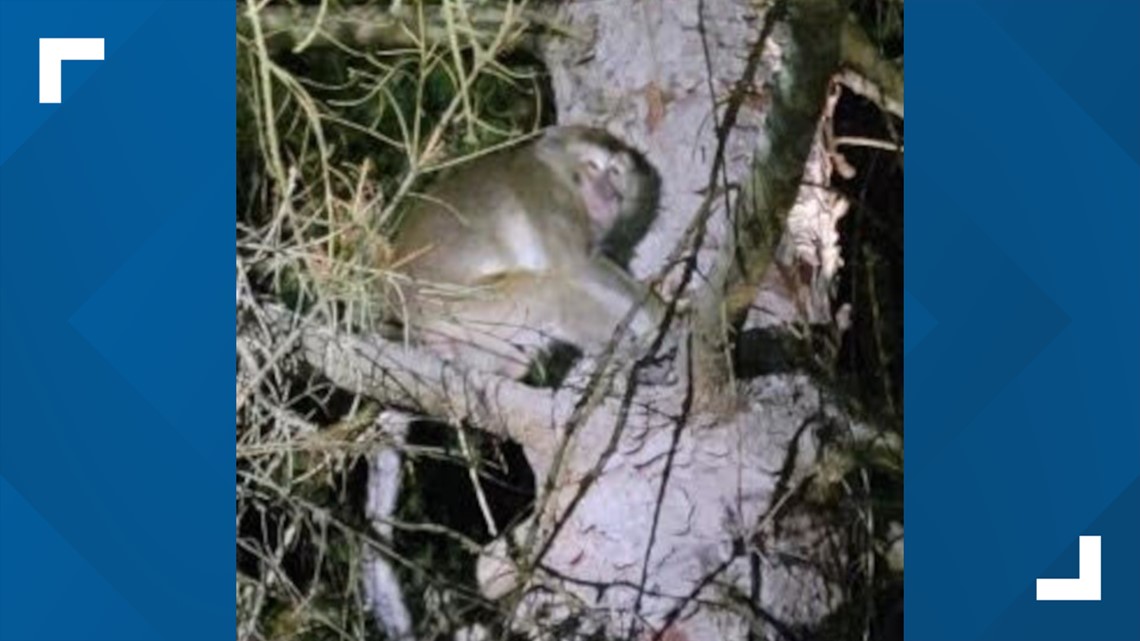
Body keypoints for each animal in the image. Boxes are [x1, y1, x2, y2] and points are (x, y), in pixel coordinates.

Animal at [388, 125, 665, 382]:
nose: (608, 194)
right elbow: (577, 266)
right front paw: (657, 314)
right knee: (554, 291)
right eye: (593, 166)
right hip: (458, 303)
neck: (563, 175)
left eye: (615, 173)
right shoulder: (549, 193)